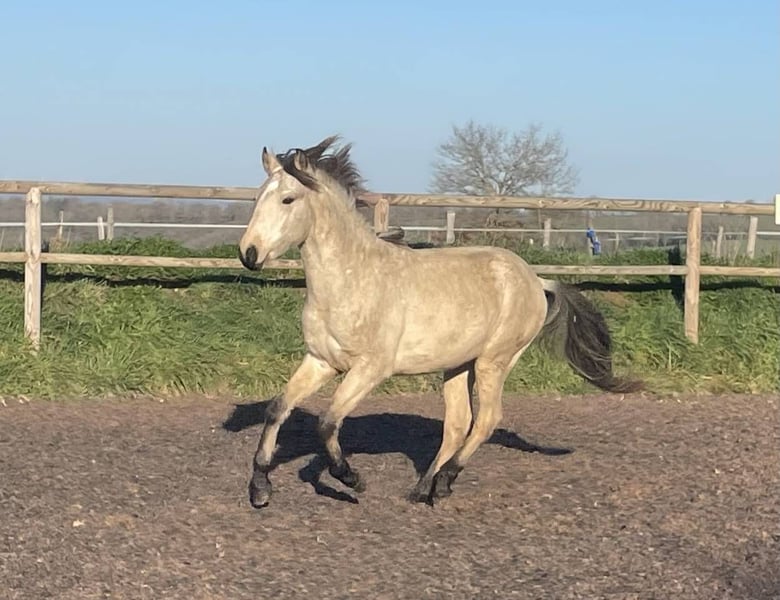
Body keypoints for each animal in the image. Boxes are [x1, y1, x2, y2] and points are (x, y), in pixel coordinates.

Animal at [237, 135, 640, 509]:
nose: (248, 254)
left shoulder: (370, 369)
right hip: (458, 365)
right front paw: (260, 489)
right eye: (257, 197)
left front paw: (352, 479)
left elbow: (328, 421)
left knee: (487, 418)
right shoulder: (321, 361)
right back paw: (423, 488)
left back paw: (443, 482)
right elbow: (278, 408)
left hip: (494, 361)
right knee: (458, 423)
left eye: (288, 200)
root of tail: (536, 280)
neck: (351, 280)